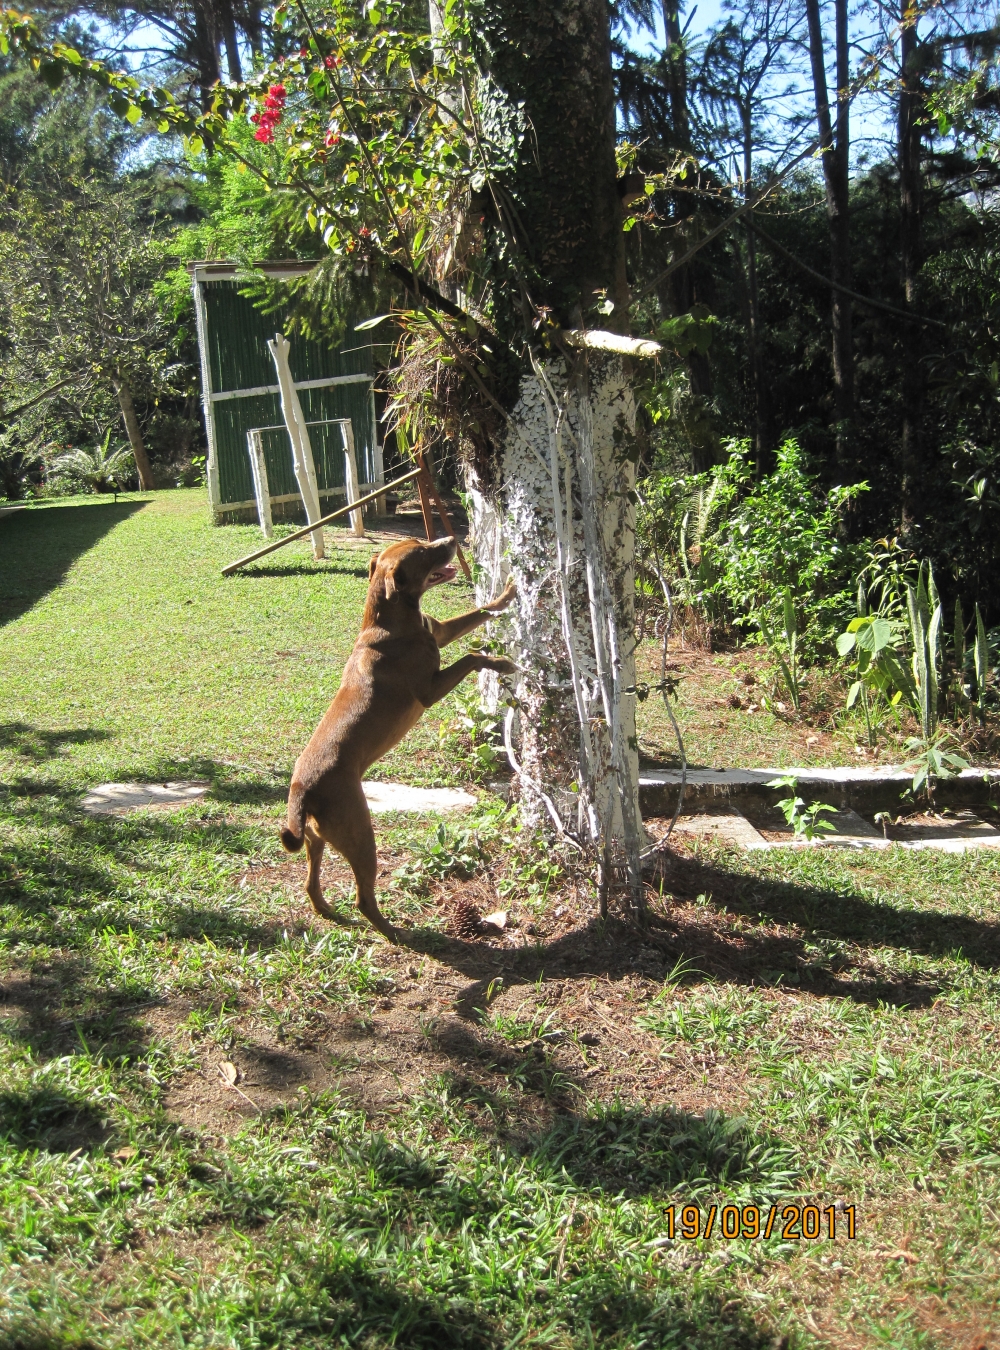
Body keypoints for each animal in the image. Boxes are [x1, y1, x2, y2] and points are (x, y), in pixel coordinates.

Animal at [279, 534, 515, 939]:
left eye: (422, 541)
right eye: (423, 552)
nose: (452, 539)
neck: (392, 620)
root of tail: (300, 791)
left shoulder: (440, 630)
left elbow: (481, 611)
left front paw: (508, 594)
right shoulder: (429, 690)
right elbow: (472, 656)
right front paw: (501, 662)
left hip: (316, 839)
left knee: (310, 882)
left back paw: (325, 909)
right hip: (360, 835)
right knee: (363, 898)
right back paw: (396, 933)